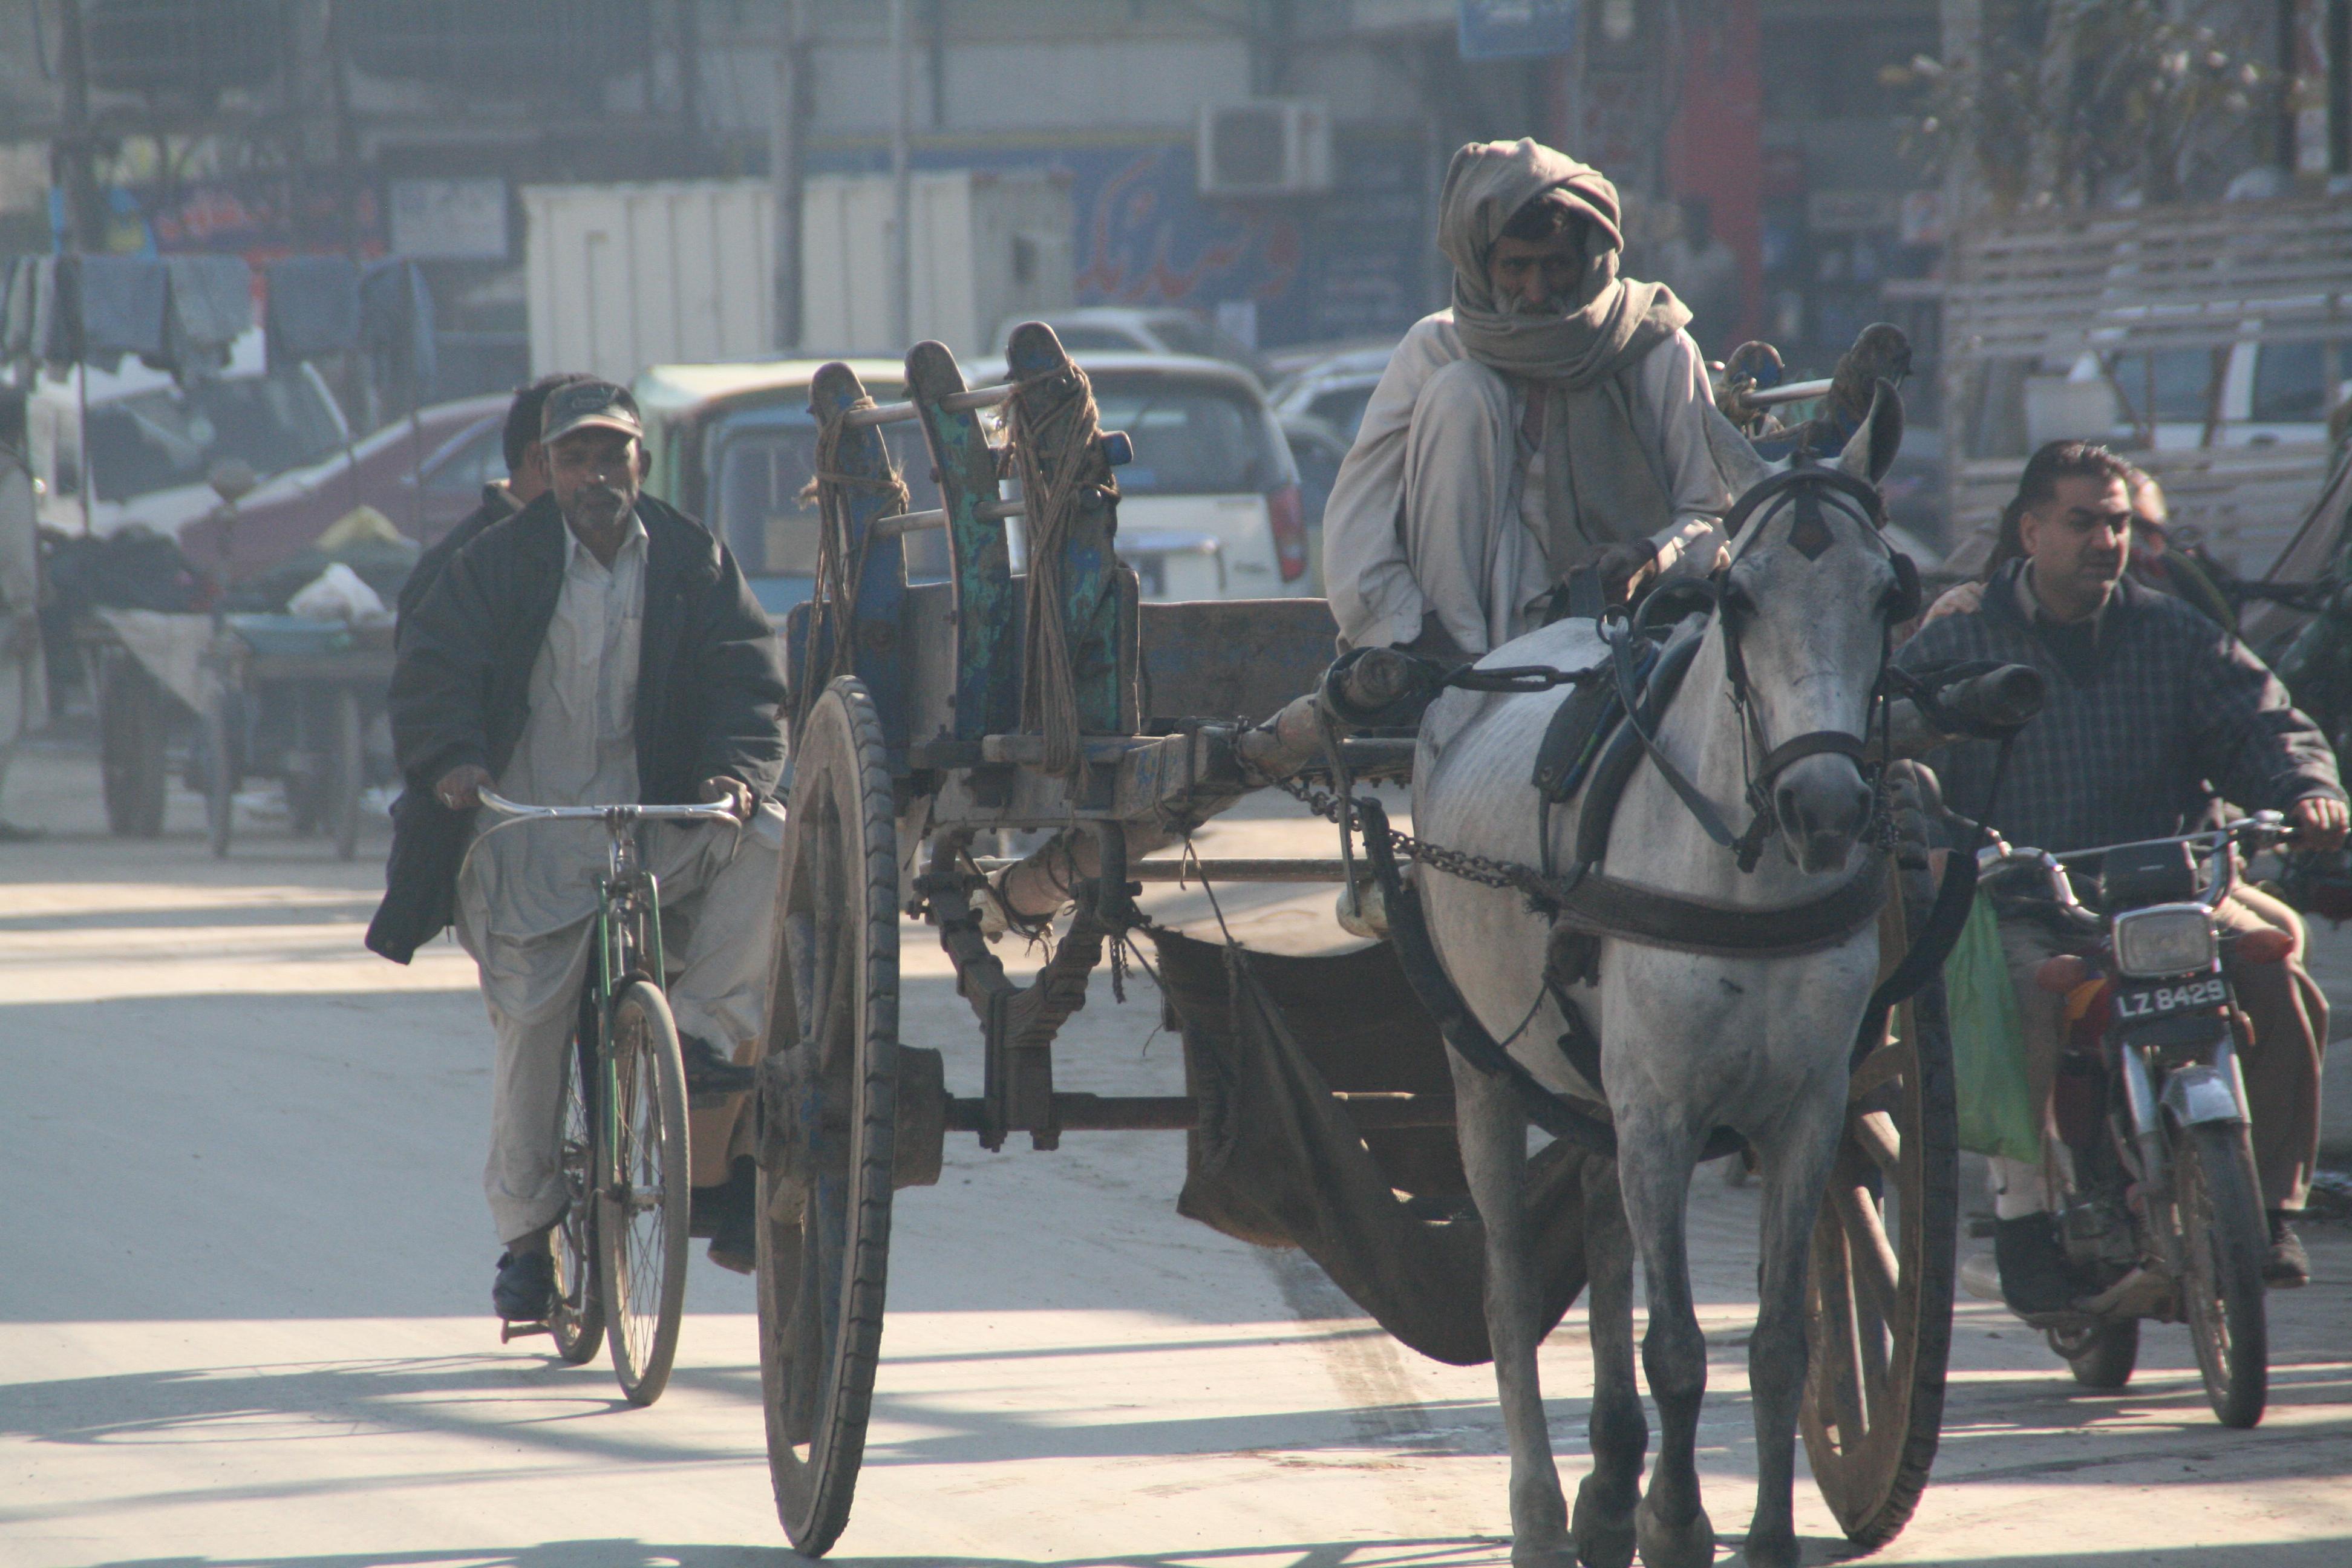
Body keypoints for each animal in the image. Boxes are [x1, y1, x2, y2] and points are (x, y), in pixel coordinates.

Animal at [1402, 399, 1900, 1561]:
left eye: (1886, 591)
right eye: (1738, 595)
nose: (1824, 806)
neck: (1745, 873)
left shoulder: (1810, 1112)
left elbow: (1777, 1343)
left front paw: (1763, 1534)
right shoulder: (1662, 1114)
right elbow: (1676, 1348)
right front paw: (1677, 1523)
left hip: (1597, 1092)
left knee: (1599, 1231)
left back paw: (1607, 1484)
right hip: (1481, 1065)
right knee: (1506, 1285)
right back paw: (1544, 1511)